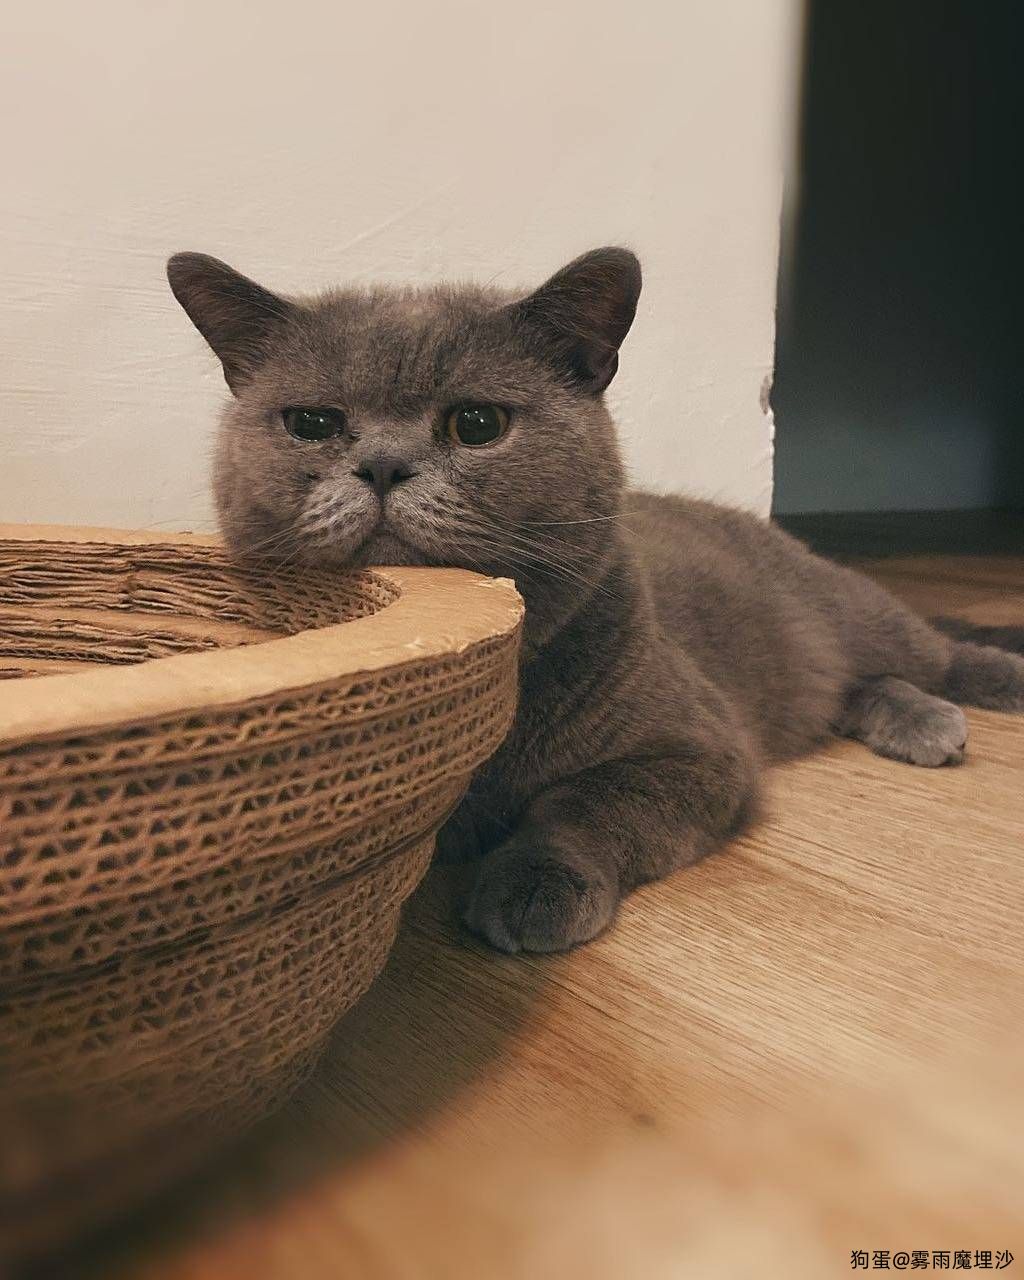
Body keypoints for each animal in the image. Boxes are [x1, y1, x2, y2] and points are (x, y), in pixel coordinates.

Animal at [167, 247, 1024, 954]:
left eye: (477, 422)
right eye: (313, 422)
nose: (382, 465)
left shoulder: (701, 749)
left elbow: (586, 804)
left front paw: (535, 883)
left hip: (856, 613)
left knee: (933, 651)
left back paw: (980, 689)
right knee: (851, 688)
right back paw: (915, 720)